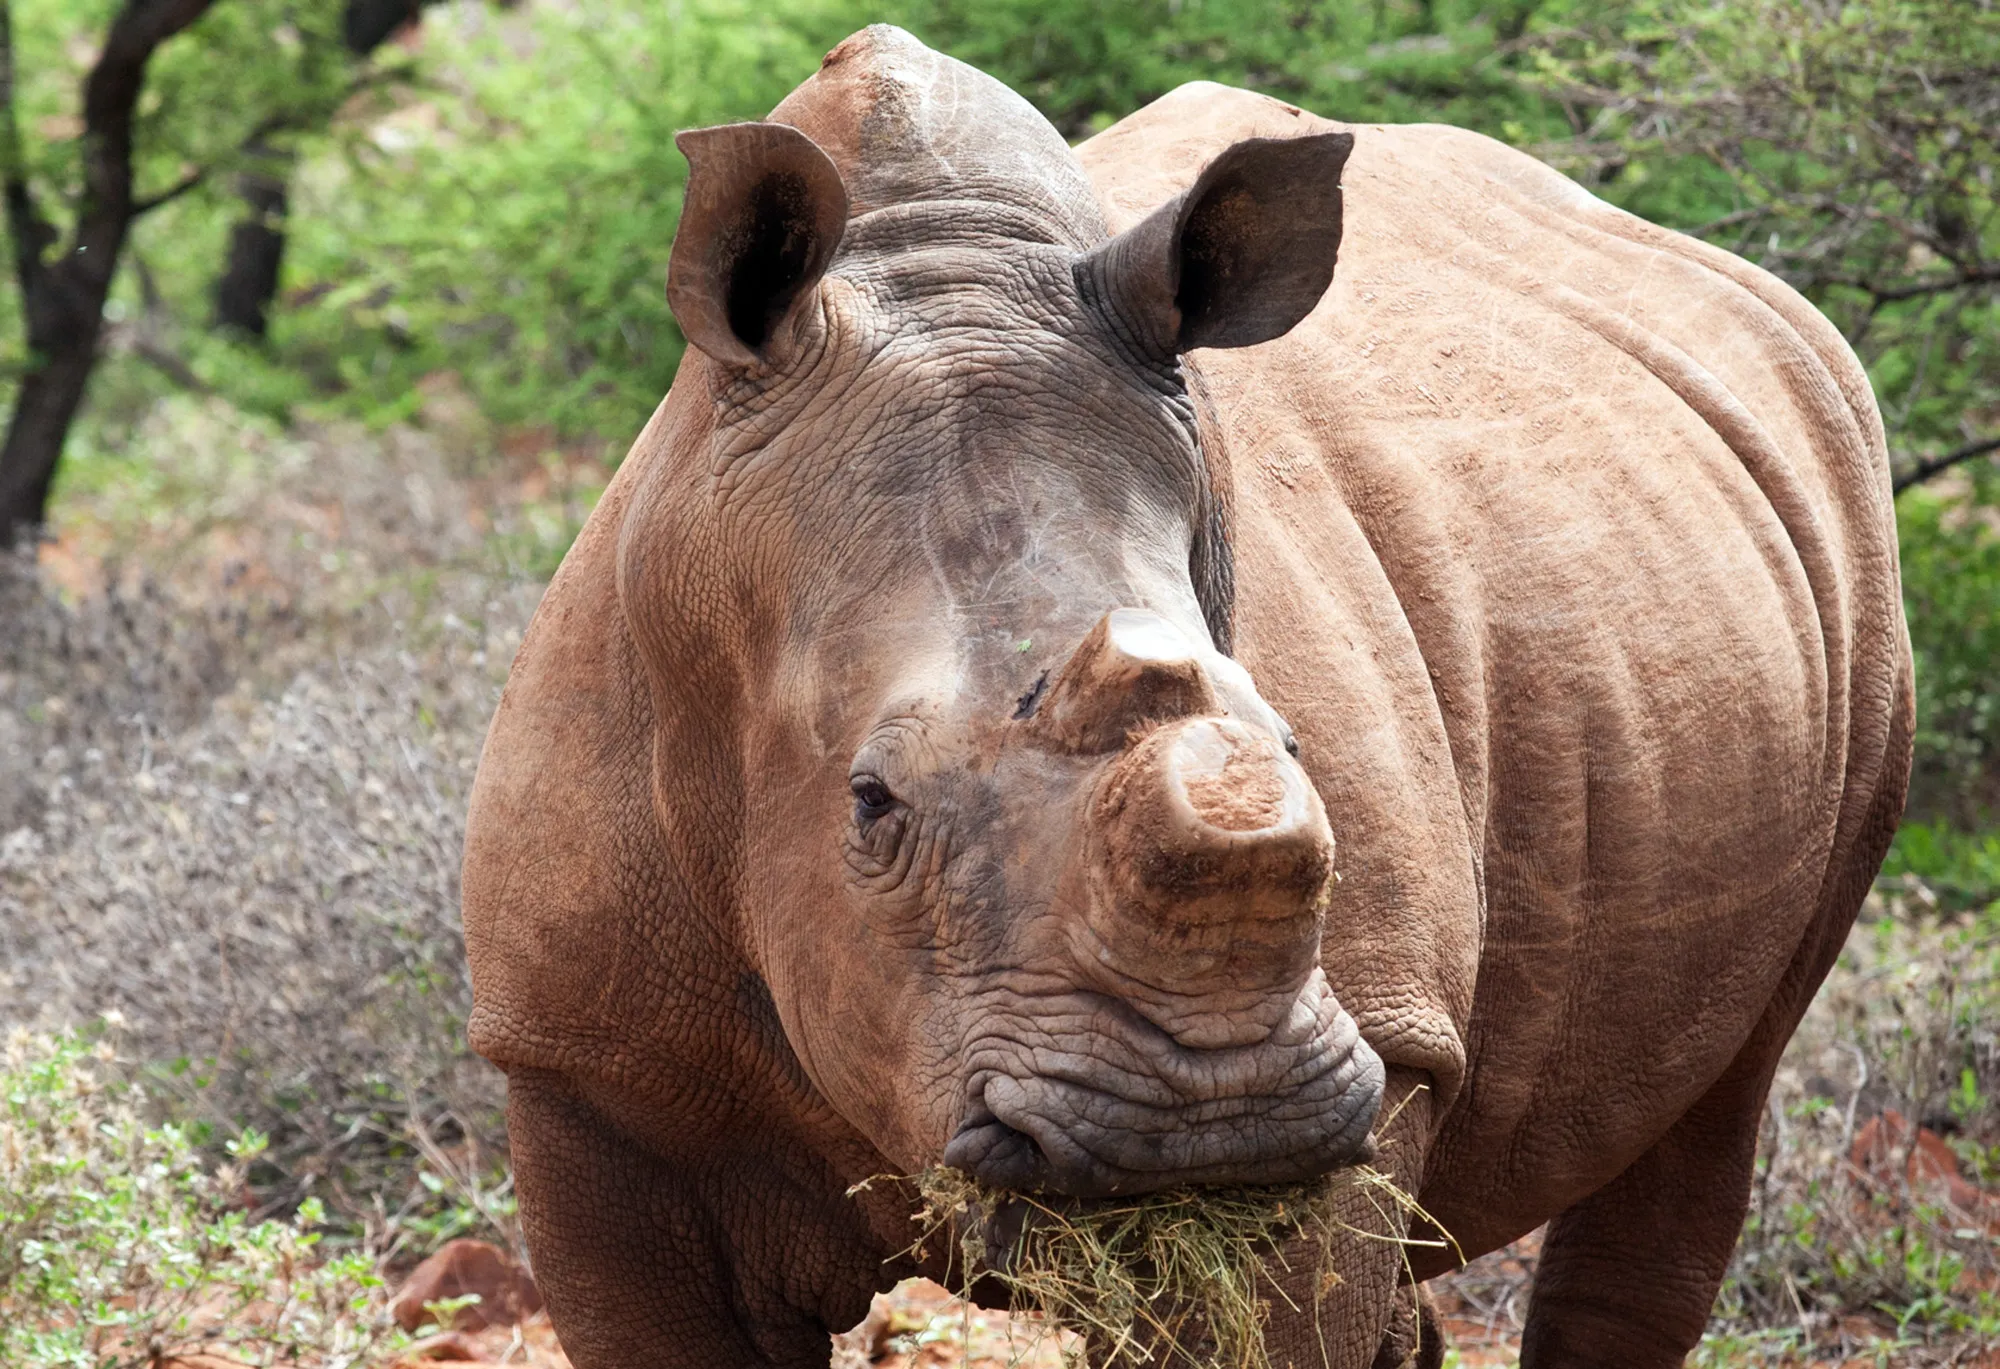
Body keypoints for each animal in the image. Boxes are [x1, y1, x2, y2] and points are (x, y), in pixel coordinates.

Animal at [461, 25, 1912, 1368]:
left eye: (1291, 742)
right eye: (870, 801)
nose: (1213, 1116)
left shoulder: (1373, 1063)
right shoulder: (586, 1069)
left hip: (1853, 516)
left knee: (1717, 1102)